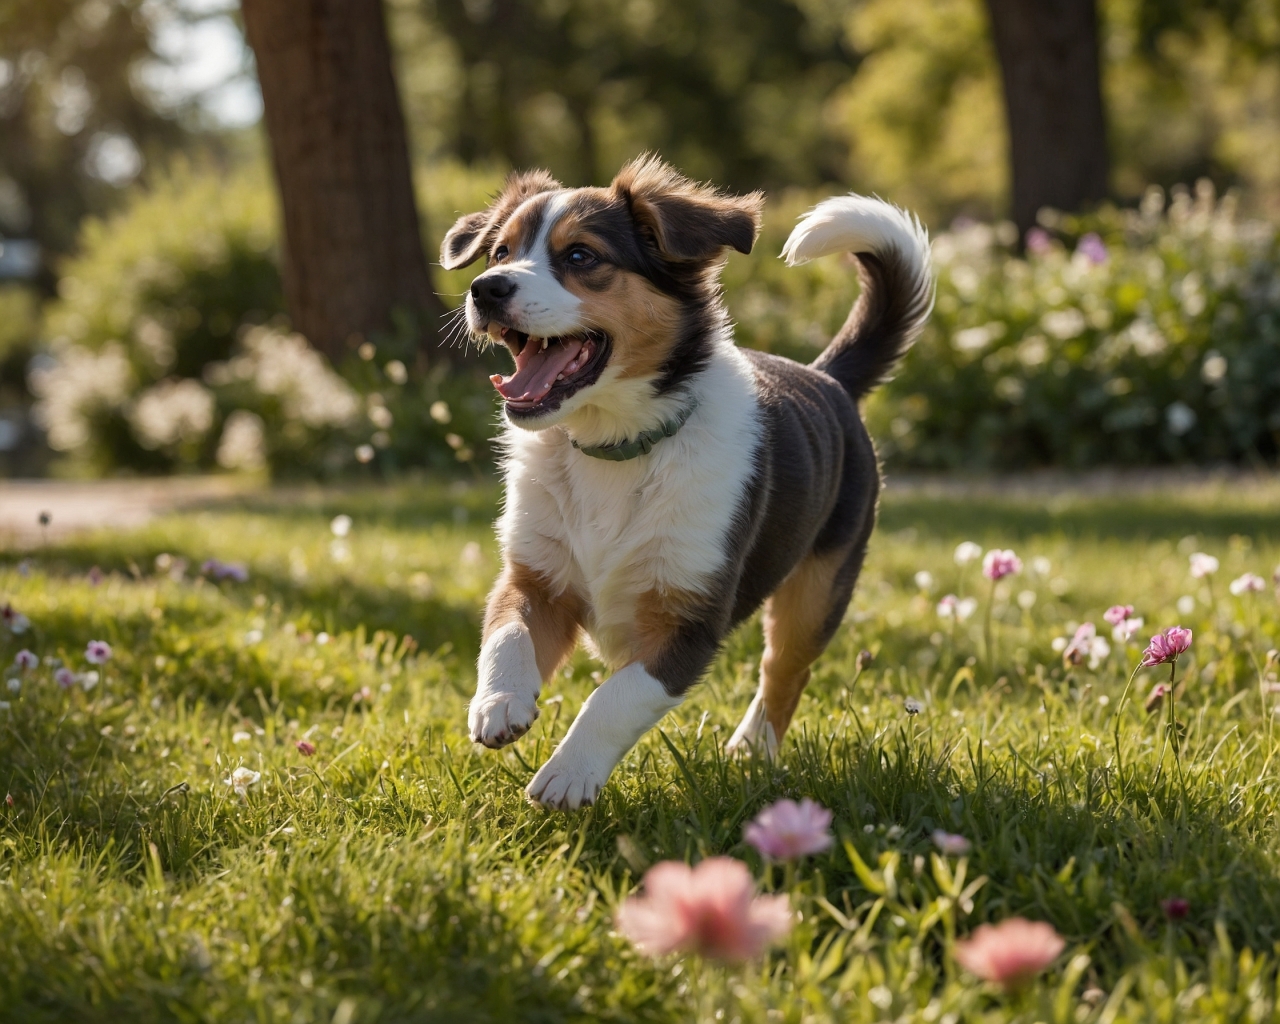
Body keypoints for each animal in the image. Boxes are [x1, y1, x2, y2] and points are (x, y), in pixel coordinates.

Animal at [440, 154, 931, 808]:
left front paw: (569, 774)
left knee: (784, 670)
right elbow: (506, 633)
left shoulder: (689, 623)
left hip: (821, 587)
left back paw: (750, 751)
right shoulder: (536, 577)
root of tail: (828, 378)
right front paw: (498, 703)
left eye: (580, 256)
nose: (486, 289)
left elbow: (616, 697)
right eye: (500, 252)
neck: (614, 447)